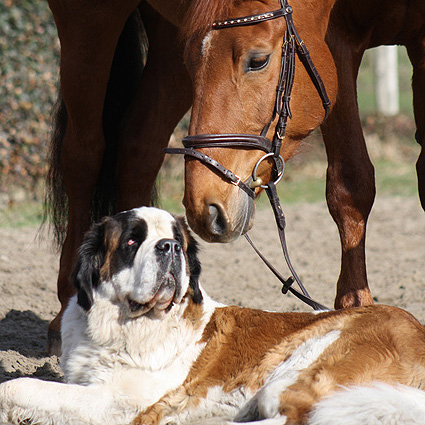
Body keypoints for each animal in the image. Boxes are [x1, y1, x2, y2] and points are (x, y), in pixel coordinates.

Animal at [0, 205, 424, 424]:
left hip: (305, 364)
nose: (170, 247)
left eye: (178, 241)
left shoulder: (118, 401)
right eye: (133, 240)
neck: (129, 326)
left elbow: (20, 386)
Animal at [44, 0, 422, 354]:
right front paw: (357, 309)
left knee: (139, 148)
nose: (205, 207)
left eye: (258, 60)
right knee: (83, 154)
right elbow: (350, 183)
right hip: (91, 19)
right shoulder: (338, 42)